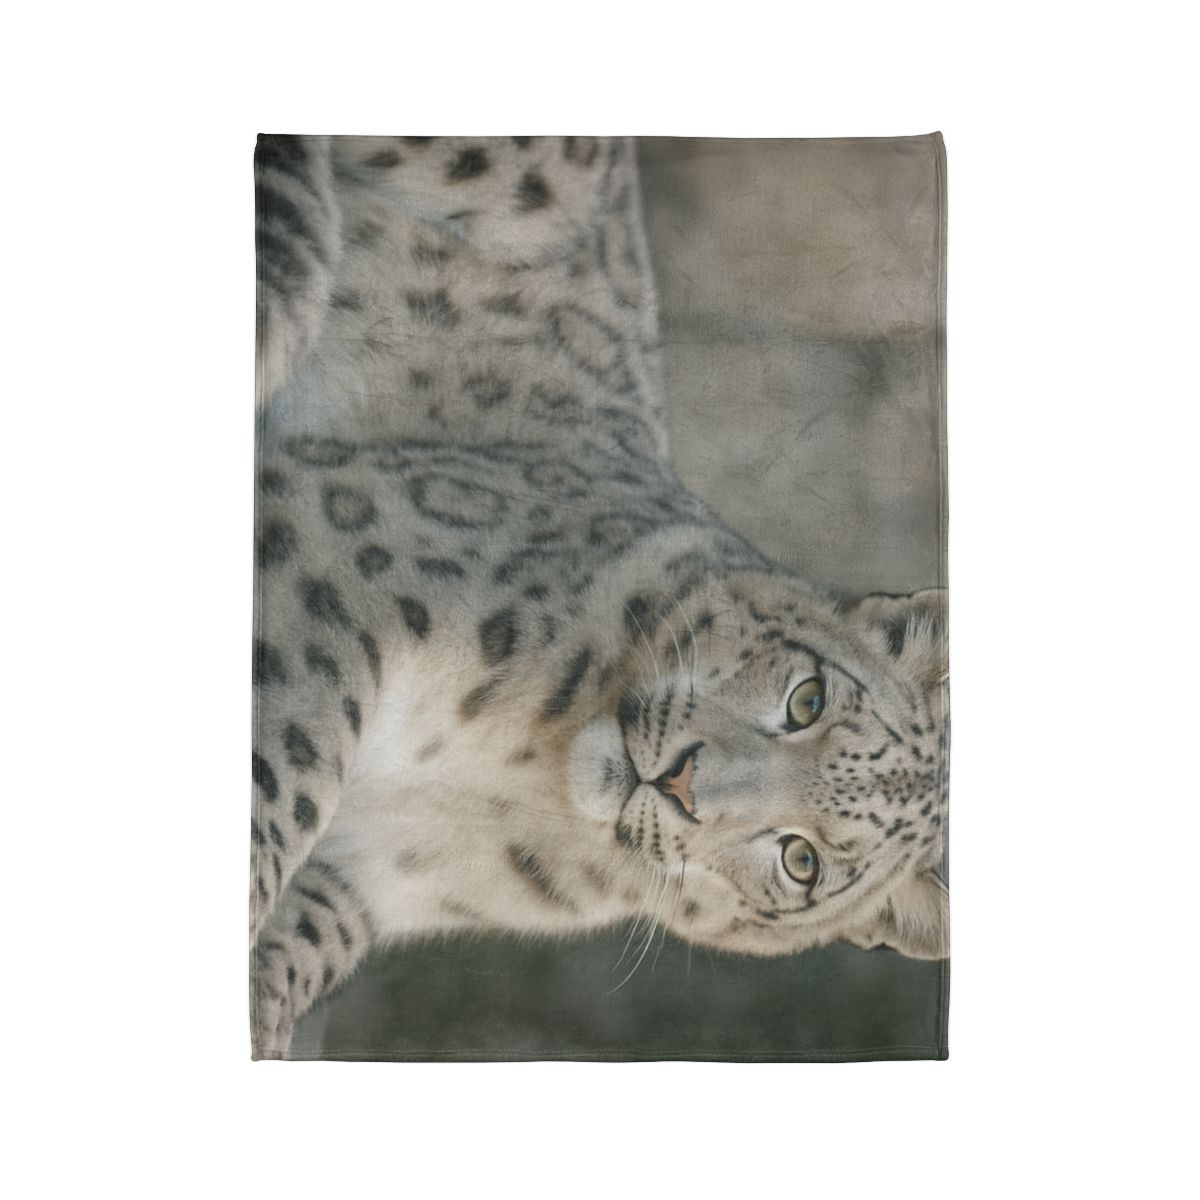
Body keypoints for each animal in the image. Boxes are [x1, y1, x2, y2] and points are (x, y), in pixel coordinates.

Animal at [251, 134, 948, 1057]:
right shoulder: (348, 554)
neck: (508, 787)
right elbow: (282, 777)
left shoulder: (370, 879)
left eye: (803, 861)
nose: (681, 780)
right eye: (809, 697)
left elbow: (299, 936)